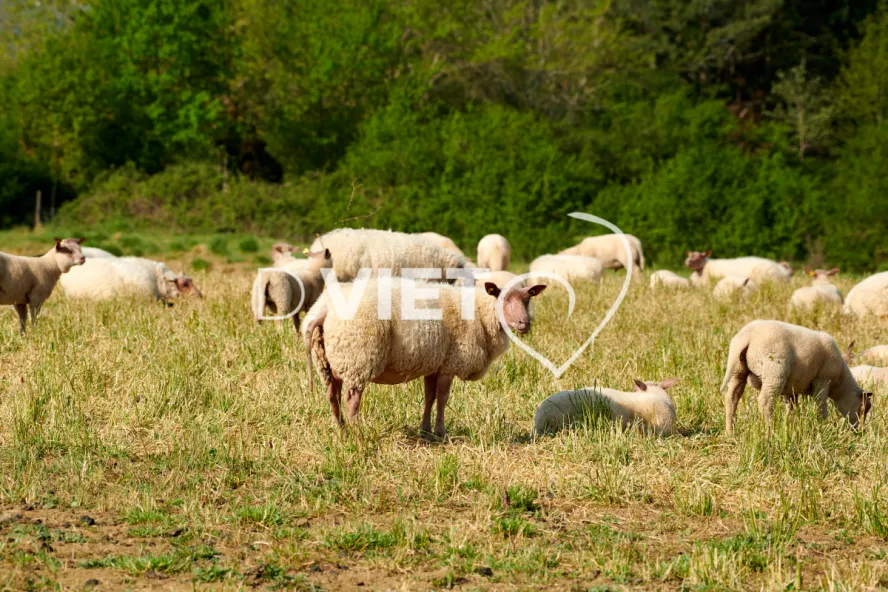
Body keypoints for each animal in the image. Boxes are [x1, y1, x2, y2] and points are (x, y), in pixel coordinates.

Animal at [303, 278, 546, 437]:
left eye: (527, 299)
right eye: (504, 300)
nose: (525, 323)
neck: (480, 314)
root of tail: (325, 309)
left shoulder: (434, 364)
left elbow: (429, 397)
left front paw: (425, 430)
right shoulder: (450, 363)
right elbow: (443, 399)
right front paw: (440, 432)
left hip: (328, 360)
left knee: (332, 396)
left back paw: (341, 430)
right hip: (359, 357)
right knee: (351, 399)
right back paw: (356, 433)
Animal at [721, 320, 872, 434]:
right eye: (863, 409)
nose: (858, 431)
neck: (840, 384)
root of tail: (748, 336)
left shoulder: (791, 388)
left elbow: (792, 407)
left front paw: (790, 425)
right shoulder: (822, 380)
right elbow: (821, 404)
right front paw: (823, 424)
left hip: (737, 369)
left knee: (732, 398)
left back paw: (730, 432)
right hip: (775, 371)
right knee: (765, 401)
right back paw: (770, 431)